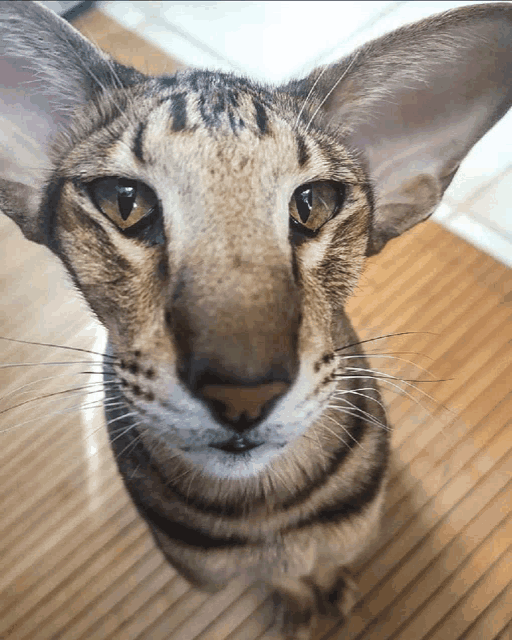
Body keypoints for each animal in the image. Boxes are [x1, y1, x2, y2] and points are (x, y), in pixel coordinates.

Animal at [0, 2, 510, 636]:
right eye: (124, 201)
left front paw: (322, 584)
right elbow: (276, 576)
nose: (244, 390)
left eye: (312, 204)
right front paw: (297, 596)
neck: (270, 516)